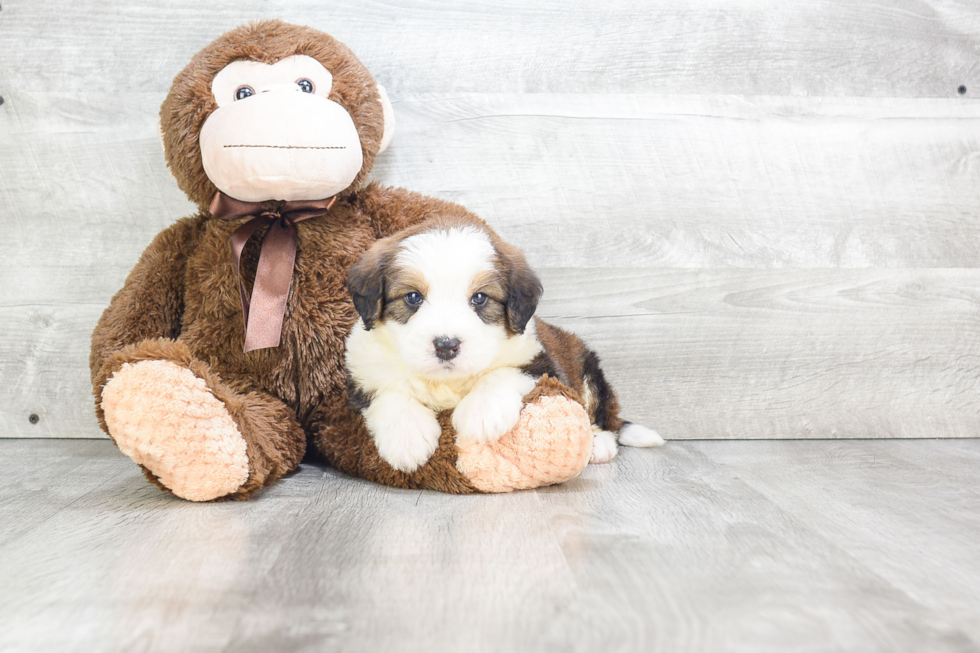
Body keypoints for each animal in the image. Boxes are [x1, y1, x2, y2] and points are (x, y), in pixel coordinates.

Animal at [340, 216, 664, 472]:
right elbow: (388, 392)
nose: (446, 345)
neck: (446, 381)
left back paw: (600, 445)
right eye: (412, 297)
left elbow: (504, 372)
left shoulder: (542, 364)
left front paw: (482, 414)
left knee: (605, 418)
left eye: (480, 298)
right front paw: (407, 438)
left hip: (589, 371)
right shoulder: (362, 369)